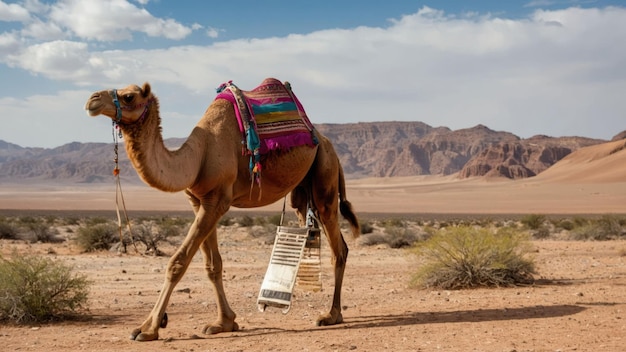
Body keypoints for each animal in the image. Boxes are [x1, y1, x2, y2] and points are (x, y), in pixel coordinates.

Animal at [83, 79, 358, 340]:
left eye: (129, 96)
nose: (92, 100)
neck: (199, 155)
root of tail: (327, 143)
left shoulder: (217, 201)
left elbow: (177, 263)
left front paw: (147, 329)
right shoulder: (200, 202)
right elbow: (213, 265)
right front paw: (224, 322)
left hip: (325, 175)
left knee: (338, 247)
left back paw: (331, 315)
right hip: (301, 192)